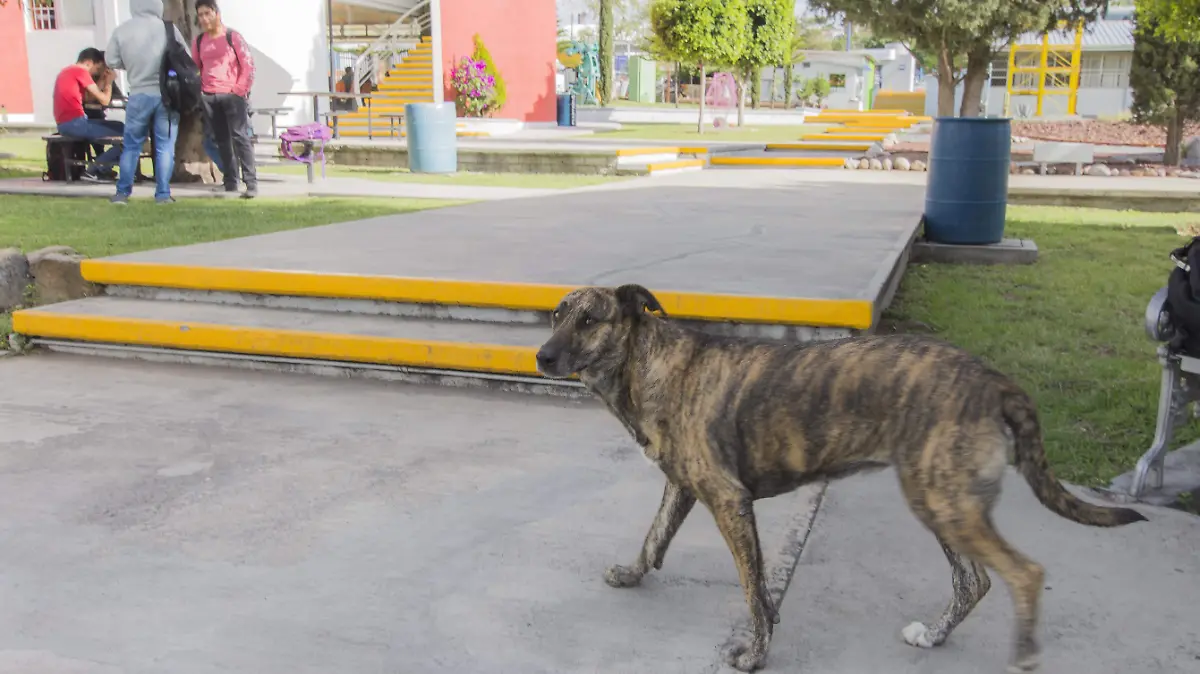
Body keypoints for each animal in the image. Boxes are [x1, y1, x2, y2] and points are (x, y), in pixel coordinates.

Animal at [532, 283, 1142, 671]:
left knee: (1023, 573)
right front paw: (633, 575)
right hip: (942, 499)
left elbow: (750, 589)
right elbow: (655, 537)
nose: (541, 357)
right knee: (975, 581)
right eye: (555, 316)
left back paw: (1024, 654)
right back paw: (934, 636)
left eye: (590, 320)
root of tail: (992, 378)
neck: (647, 365)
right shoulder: (683, 488)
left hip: (941, 499)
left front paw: (756, 655)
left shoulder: (729, 502)